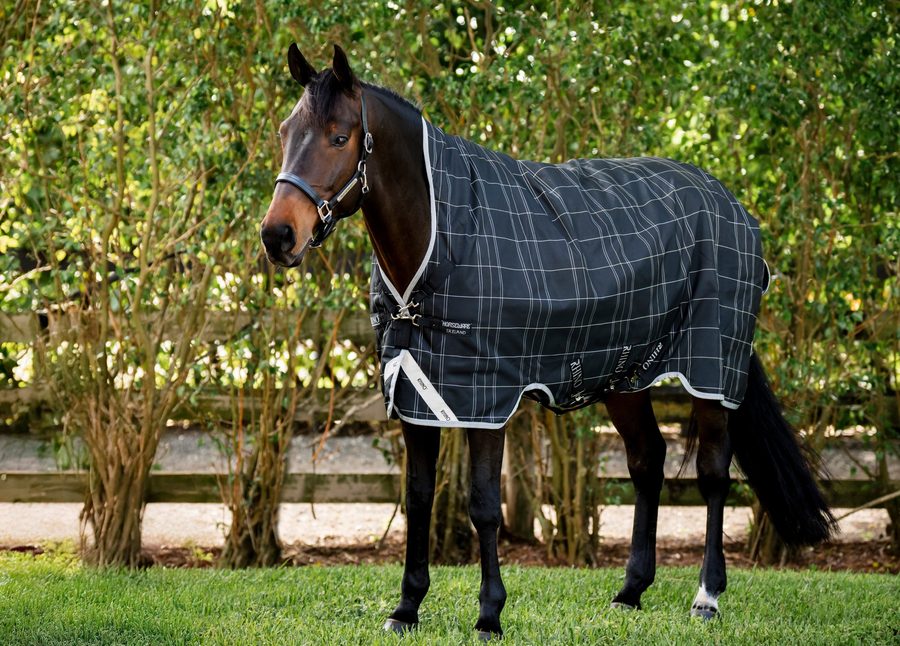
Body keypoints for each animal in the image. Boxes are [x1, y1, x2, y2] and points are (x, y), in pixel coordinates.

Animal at [260, 44, 835, 639]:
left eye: (339, 137)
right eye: (285, 132)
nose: (277, 236)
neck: (441, 238)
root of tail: (733, 207)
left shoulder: (487, 401)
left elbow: (484, 505)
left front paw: (489, 615)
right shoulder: (416, 393)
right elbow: (418, 498)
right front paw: (406, 609)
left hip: (712, 369)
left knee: (714, 474)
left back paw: (707, 596)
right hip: (626, 373)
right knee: (647, 461)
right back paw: (630, 591)